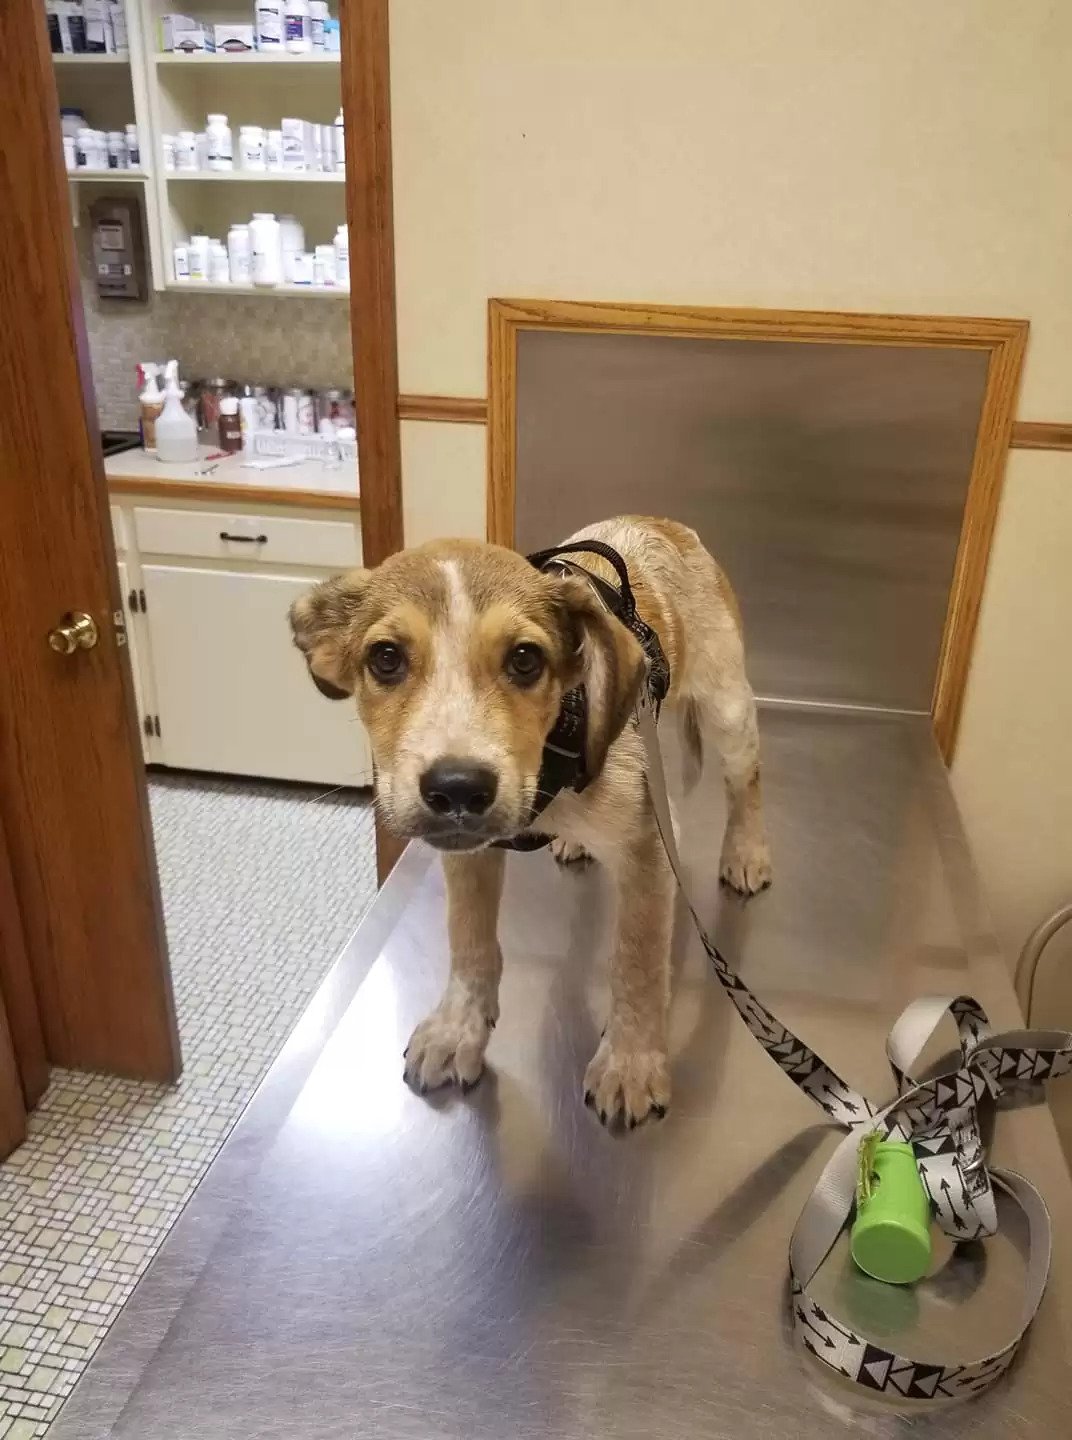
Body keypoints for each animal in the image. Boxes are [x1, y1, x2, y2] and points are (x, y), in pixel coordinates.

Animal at [289, 521, 766, 1134]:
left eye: (525, 660)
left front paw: (631, 1062)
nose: (458, 787)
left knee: (745, 781)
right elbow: (469, 940)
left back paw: (746, 854)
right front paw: (459, 1029)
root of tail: (667, 526)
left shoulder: (644, 848)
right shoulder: (468, 851)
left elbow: (635, 962)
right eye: (386, 658)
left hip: (727, 711)